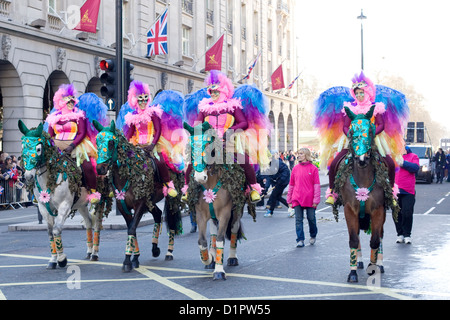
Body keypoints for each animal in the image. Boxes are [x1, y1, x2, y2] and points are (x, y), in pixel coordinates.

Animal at [18, 119, 107, 268]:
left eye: (38, 149)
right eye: (23, 146)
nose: (28, 176)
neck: (51, 178)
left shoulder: (64, 206)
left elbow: (56, 229)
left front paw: (61, 259)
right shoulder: (43, 207)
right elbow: (49, 232)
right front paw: (53, 260)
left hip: (100, 200)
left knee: (97, 224)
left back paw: (95, 253)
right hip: (81, 204)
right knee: (89, 222)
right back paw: (89, 251)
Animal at [93, 120, 183, 272]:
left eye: (111, 142)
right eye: (97, 141)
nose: (100, 169)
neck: (128, 173)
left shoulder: (139, 204)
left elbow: (132, 228)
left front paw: (127, 261)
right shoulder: (122, 206)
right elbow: (132, 229)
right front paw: (134, 258)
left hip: (170, 199)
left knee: (171, 219)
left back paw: (169, 252)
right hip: (150, 201)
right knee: (158, 214)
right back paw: (155, 249)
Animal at [183, 122, 251, 280]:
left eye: (209, 146)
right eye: (191, 148)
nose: (200, 177)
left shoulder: (225, 213)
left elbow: (221, 239)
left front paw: (219, 271)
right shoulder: (201, 215)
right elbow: (202, 241)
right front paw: (208, 259)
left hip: (237, 210)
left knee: (233, 229)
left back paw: (232, 257)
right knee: (213, 231)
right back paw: (213, 257)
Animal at [332, 106, 396, 284]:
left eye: (371, 131)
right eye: (352, 132)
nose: (361, 159)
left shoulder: (378, 210)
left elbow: (375, 240)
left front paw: (373, 268)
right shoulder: (350, 209)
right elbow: (353, 238)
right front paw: (352, 272)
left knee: (380, 235)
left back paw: (379, 264)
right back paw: (359, 262)